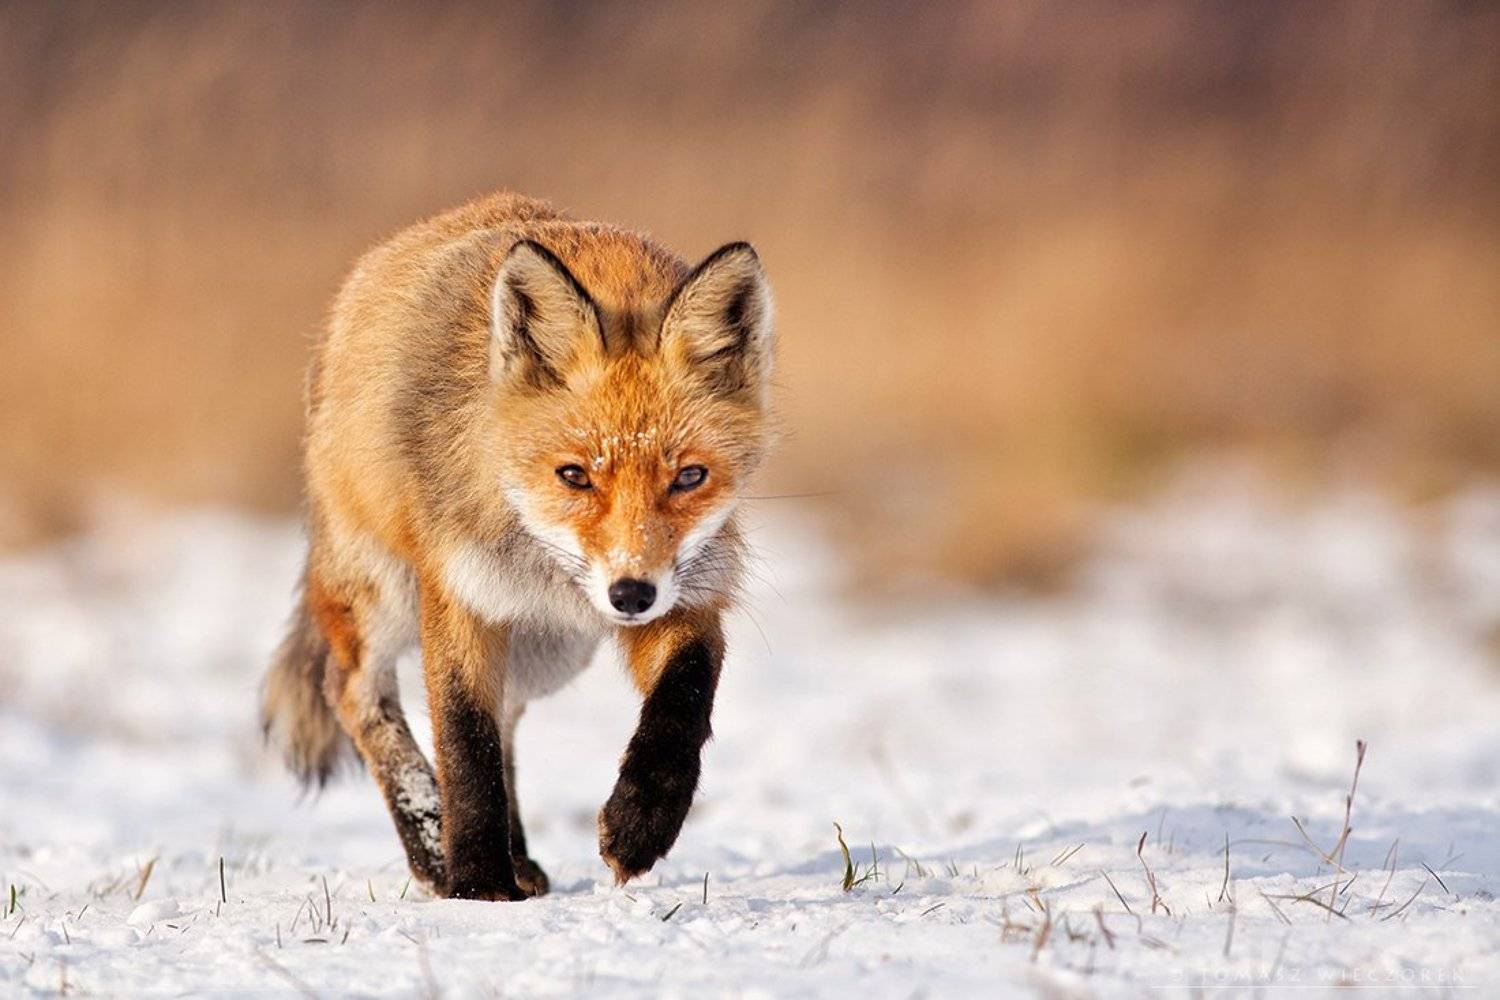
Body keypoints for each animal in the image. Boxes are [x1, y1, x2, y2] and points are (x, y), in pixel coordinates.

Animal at [260, 191, 774, 900]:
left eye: (690, 477)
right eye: (574, 475)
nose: (630, 595)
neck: (546, 562)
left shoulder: (688, 592)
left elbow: (684, 703)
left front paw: (641, 823)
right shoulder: (459, 595)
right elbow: (464, 747)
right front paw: (477, 885)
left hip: (548, 654)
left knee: (506, 719)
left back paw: (519, 858)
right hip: (383, 596)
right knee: (354, 693)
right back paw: (434, 851)